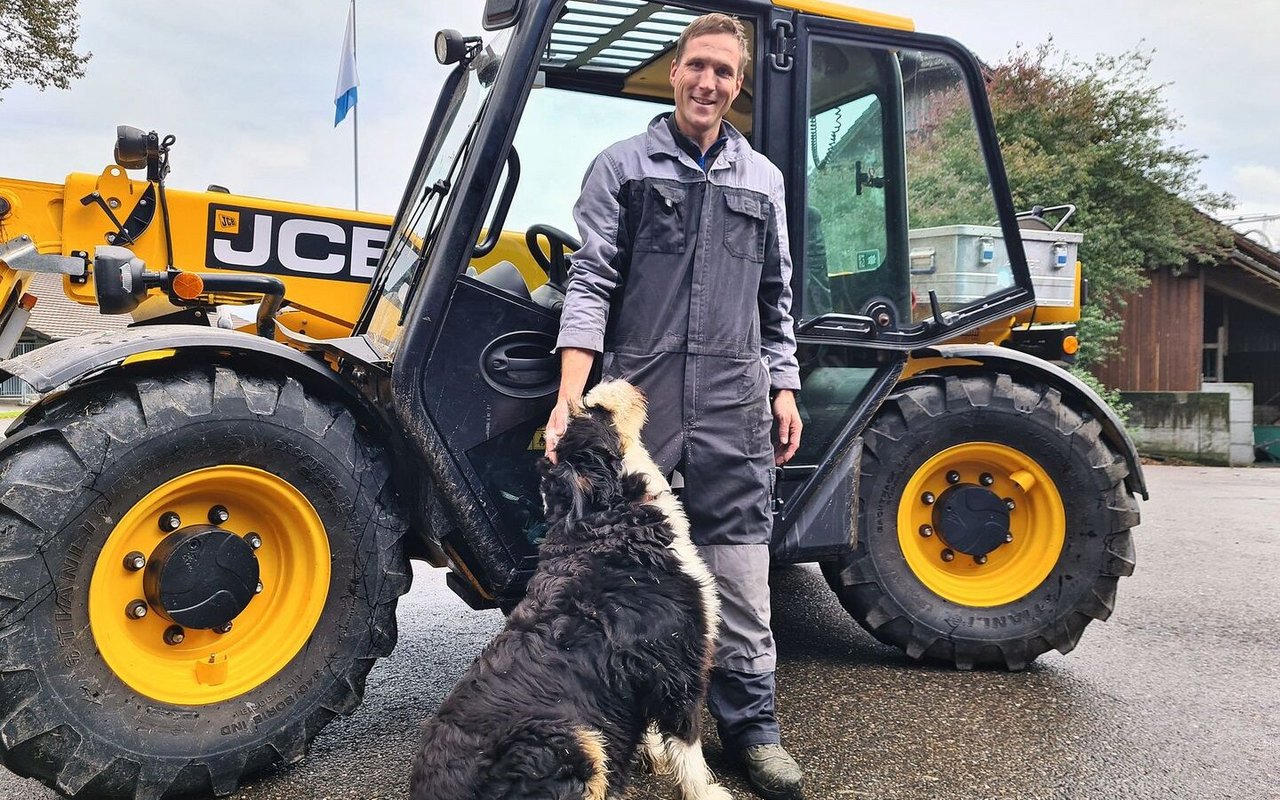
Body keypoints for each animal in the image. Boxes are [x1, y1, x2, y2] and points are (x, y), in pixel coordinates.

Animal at [409, 378, 732, 798]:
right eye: (593, 409)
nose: (605, 380)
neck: (608, 524)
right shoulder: (678, 664)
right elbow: (687, 744)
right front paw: (705, 790)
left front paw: (652, 755)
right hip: (569, 738)